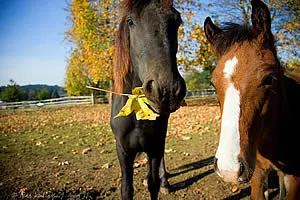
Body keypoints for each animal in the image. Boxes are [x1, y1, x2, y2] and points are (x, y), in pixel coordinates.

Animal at [110, 0, 185, 200]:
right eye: (130, 21)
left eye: (177, 21)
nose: (167, 90)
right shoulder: (123, 150)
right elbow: (126, 189)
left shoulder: (155, 146)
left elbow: (154, 184)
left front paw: (161, 183)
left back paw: (165, 182)